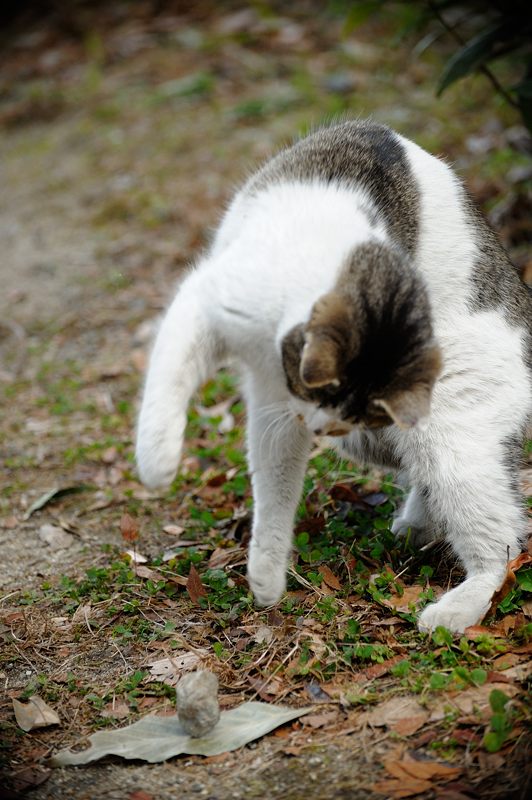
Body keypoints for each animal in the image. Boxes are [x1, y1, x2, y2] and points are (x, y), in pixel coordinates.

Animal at [135, 120, 528, 632]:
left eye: (343, 410)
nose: (324, 428)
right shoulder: (214, 314)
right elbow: (269, 479)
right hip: (384, 441)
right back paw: (416, 526)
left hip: (448, 426)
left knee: (502, 543)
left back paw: (458, 605)